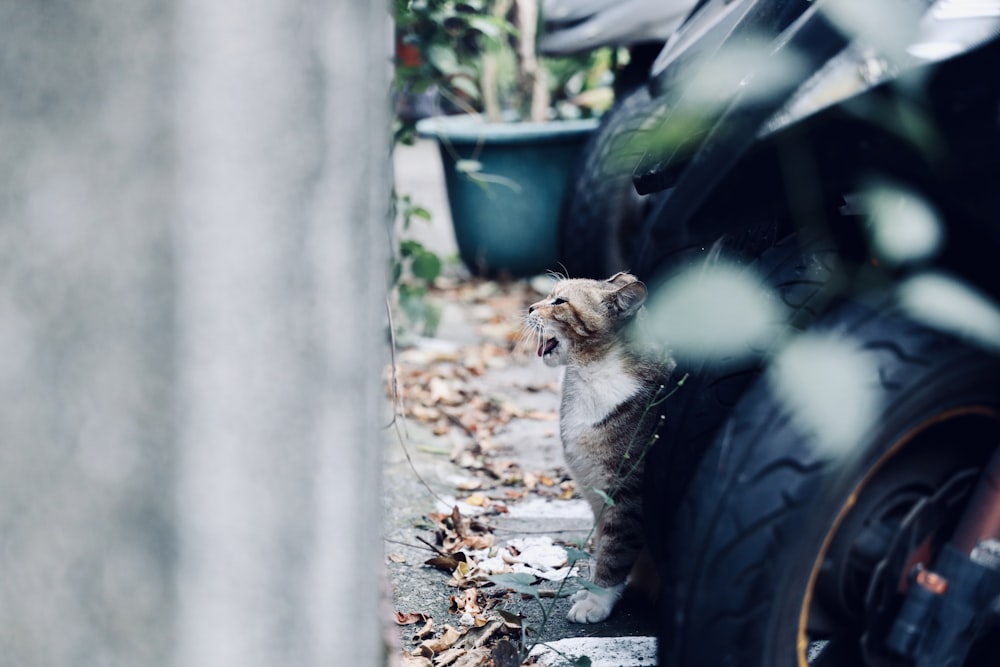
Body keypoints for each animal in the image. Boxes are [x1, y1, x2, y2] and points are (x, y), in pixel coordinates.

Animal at [524, 272, 672, 628]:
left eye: (559, 302)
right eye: (549, 295)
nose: (530, 307)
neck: (589, 373)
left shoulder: (625, 496)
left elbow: (613, 553)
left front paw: (597, 602)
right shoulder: (596, 497)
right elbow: (600, 546)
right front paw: (590, 592)